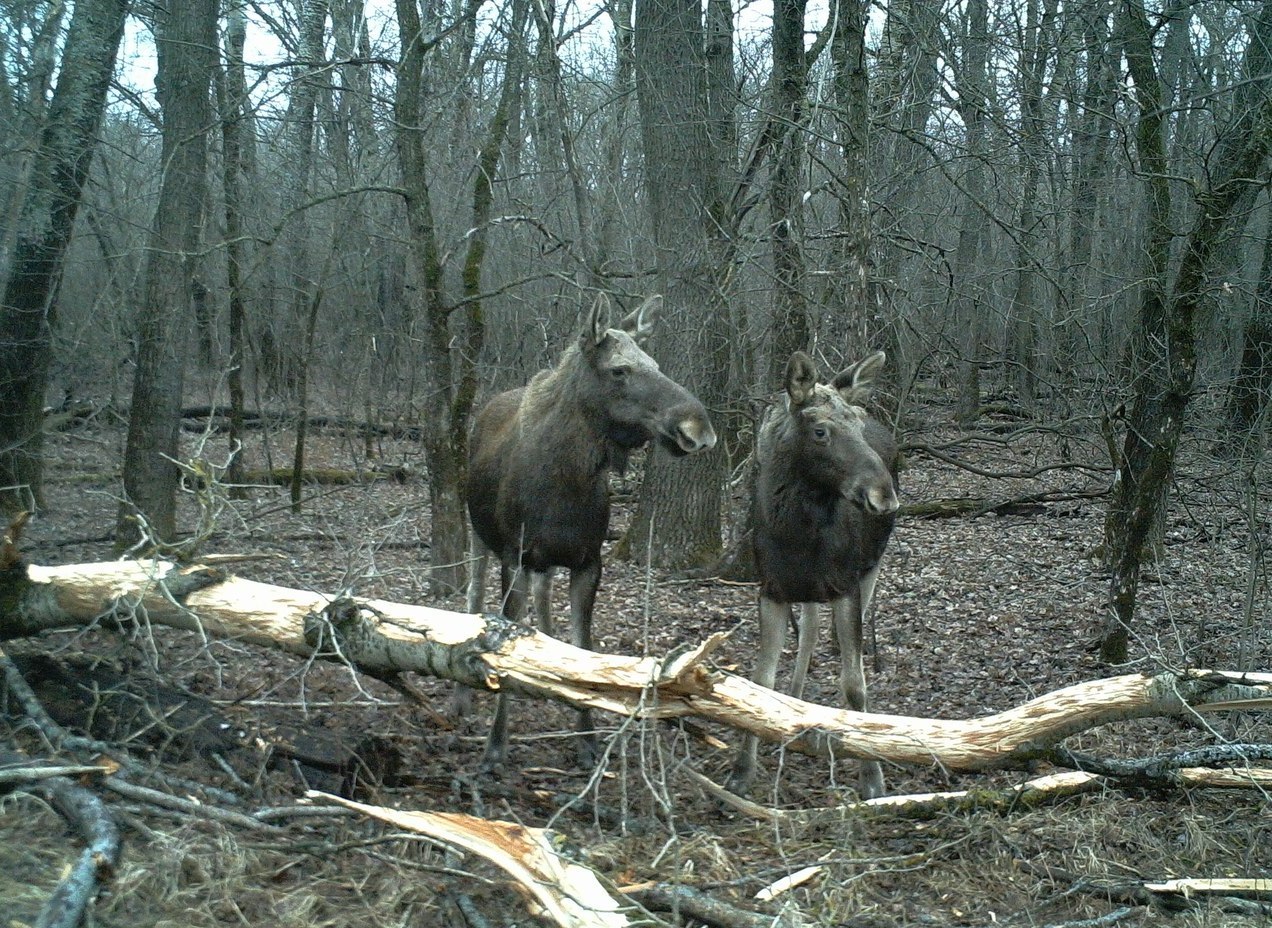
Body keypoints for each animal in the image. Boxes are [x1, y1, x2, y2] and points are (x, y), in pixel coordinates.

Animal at [465, 294, 717, 767]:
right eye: (619, 370)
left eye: (654, 363)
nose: (698, 429)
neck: (565, 486)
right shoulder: (513, 556)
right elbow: (507, 643)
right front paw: (494, 747)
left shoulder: (588, 561)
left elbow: (583, 647)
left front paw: (586, 739)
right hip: (479, 537)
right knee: (471, 597)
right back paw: (461, 701)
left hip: (543, 563)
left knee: (543, 607)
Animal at [732, 350, 900, 798]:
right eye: (820, 430)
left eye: (858, 422)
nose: (884, 494)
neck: (797, 536)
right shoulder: (770, 589)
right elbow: (761, 679)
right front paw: (742, 771)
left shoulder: (846, 585)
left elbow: (854, 683)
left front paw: (871, 777)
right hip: (807, 589)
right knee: (808, 631)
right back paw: (796, 704)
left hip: (872, 566)